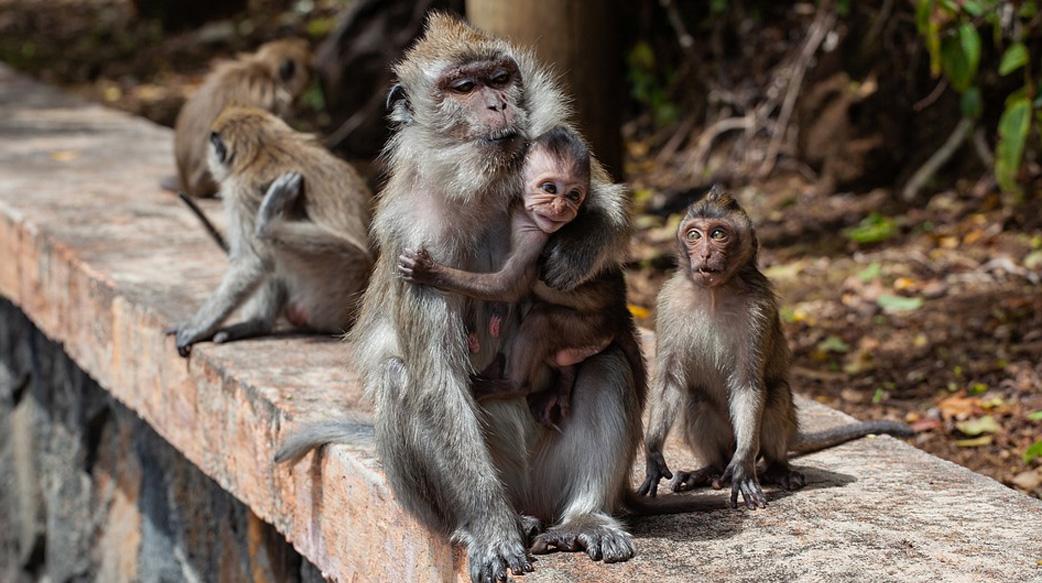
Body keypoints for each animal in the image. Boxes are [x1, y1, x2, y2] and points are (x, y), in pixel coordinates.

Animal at [172, 107, 377, 358]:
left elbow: (253, 263)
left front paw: (197, 328)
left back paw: (267, 224)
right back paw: (258, 324)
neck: (265, 147)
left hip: (337, 285)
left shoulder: (240, 191)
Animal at [398, 126, 641, 428]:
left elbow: (508, 286)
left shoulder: (536, 238)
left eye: (574, 195)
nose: (561, 207)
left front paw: (429, 272)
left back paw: (514, 384)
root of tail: (619, 313)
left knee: (540, 322)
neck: (524, 212)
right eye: (550, 188)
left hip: (590, 327)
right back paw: (565, 380)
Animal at [633, 187, 912, 510]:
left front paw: (743, 465)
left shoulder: (759, 308)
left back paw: (776, 468)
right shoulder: (668, 302)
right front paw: (653, 452)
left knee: (776, 394)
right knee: (696, 399)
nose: (704, 254)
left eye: (717, 234)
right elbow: (669, 380)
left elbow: (748, 384)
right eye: (693, 235)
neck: (715, 292)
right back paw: (709, 470)